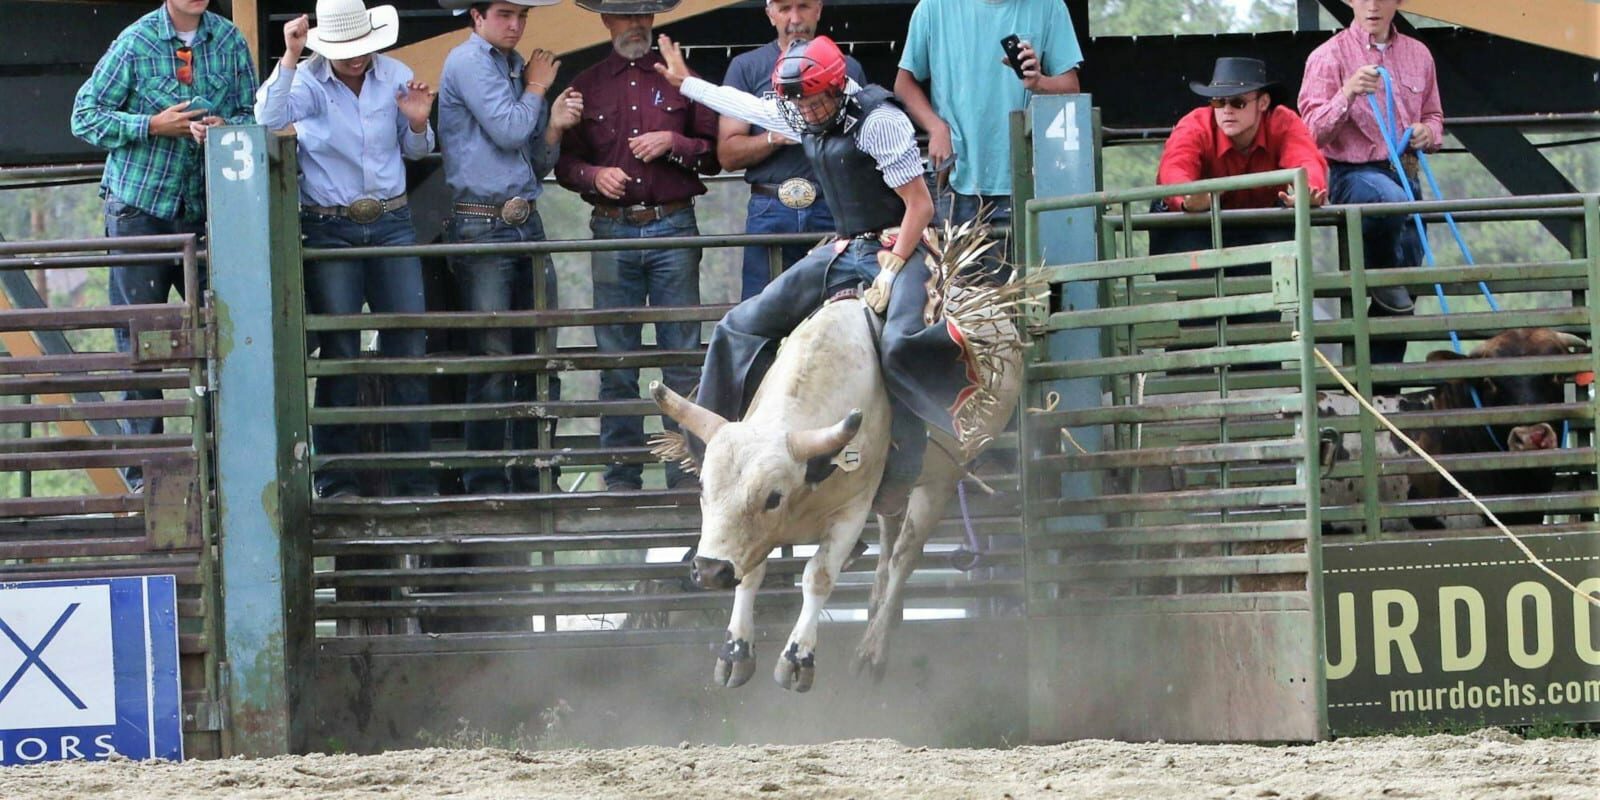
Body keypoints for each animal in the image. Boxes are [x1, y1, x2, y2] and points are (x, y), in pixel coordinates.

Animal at [652, 289, 1017, 694]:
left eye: (773, 497)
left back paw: (873, 649)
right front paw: (735, 651)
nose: (709, 570)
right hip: (896, 491)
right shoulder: (753, 539)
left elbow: (819, 576)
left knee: (904, 556)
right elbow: (751, 574)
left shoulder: (851, 513)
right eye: (703, 486)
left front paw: (797, 658)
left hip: (940, 482)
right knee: (889, 539)